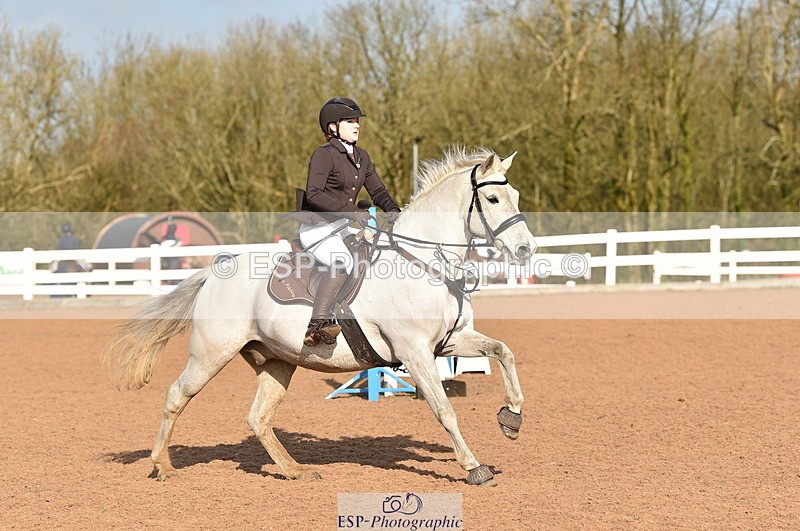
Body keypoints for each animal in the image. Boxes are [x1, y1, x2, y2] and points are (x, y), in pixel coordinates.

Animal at [104, 147, 536, 486]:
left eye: (514, 194)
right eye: (493, 199)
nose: (526, 250)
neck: (422, 261)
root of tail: (215, 270)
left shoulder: (450, 341)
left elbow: (504, 352)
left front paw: (511, 419)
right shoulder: (415, 353)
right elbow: (444, 409)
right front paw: (474, 467)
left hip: (277, 360)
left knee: (259, 417)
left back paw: (294, 470)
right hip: (211, 354)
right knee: (178, 395)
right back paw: (162, 465)